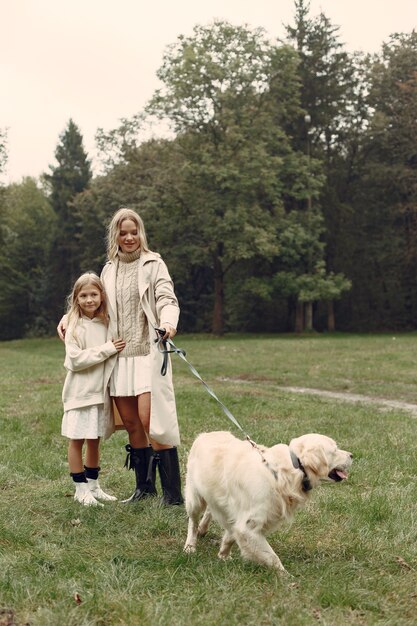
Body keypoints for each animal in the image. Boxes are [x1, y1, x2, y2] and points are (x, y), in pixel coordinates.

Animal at [182, 428, 352, 572]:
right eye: (334, 450)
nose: (352, 455)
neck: (288, 472)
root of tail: (204, 434)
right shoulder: (249, 525)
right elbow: (272, 557)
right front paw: (286, 578)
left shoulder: (242, 519)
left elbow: (230, 535)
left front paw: (223, 555)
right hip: (194, 498)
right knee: (193, 521)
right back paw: (190, 545)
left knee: (210, 510)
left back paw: (203, 529)